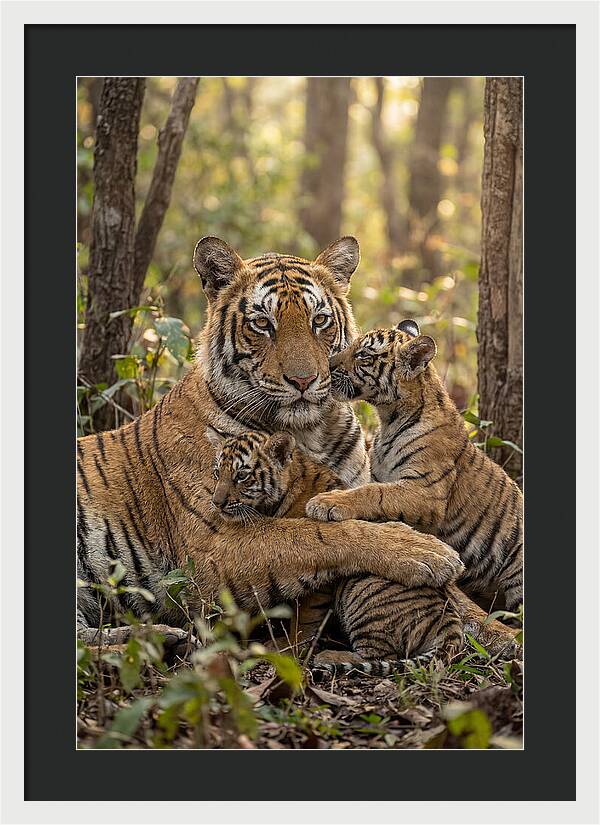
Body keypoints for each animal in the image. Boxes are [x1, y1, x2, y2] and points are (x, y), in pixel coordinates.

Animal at [77, 238, 464, 647]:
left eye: (319, 320)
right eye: (262, 323)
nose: (304, 380)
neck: (309, 432)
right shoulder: (214, 544)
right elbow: (315, 534)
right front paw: (426, 552)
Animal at [208, 427, 464, 671]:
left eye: (242, 476)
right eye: (217, 473)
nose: (216, 503)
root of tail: (450, 620)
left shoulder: (319, 575)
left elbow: (305, 617)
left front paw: (290, 646)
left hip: (361, 590)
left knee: (381, 655)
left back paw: (330, 656)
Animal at [305, 319, 524, 619]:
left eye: (363, 356)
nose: (327, 365)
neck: (389, 418)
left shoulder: (426, 491)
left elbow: (374, 493)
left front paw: (327, 502)